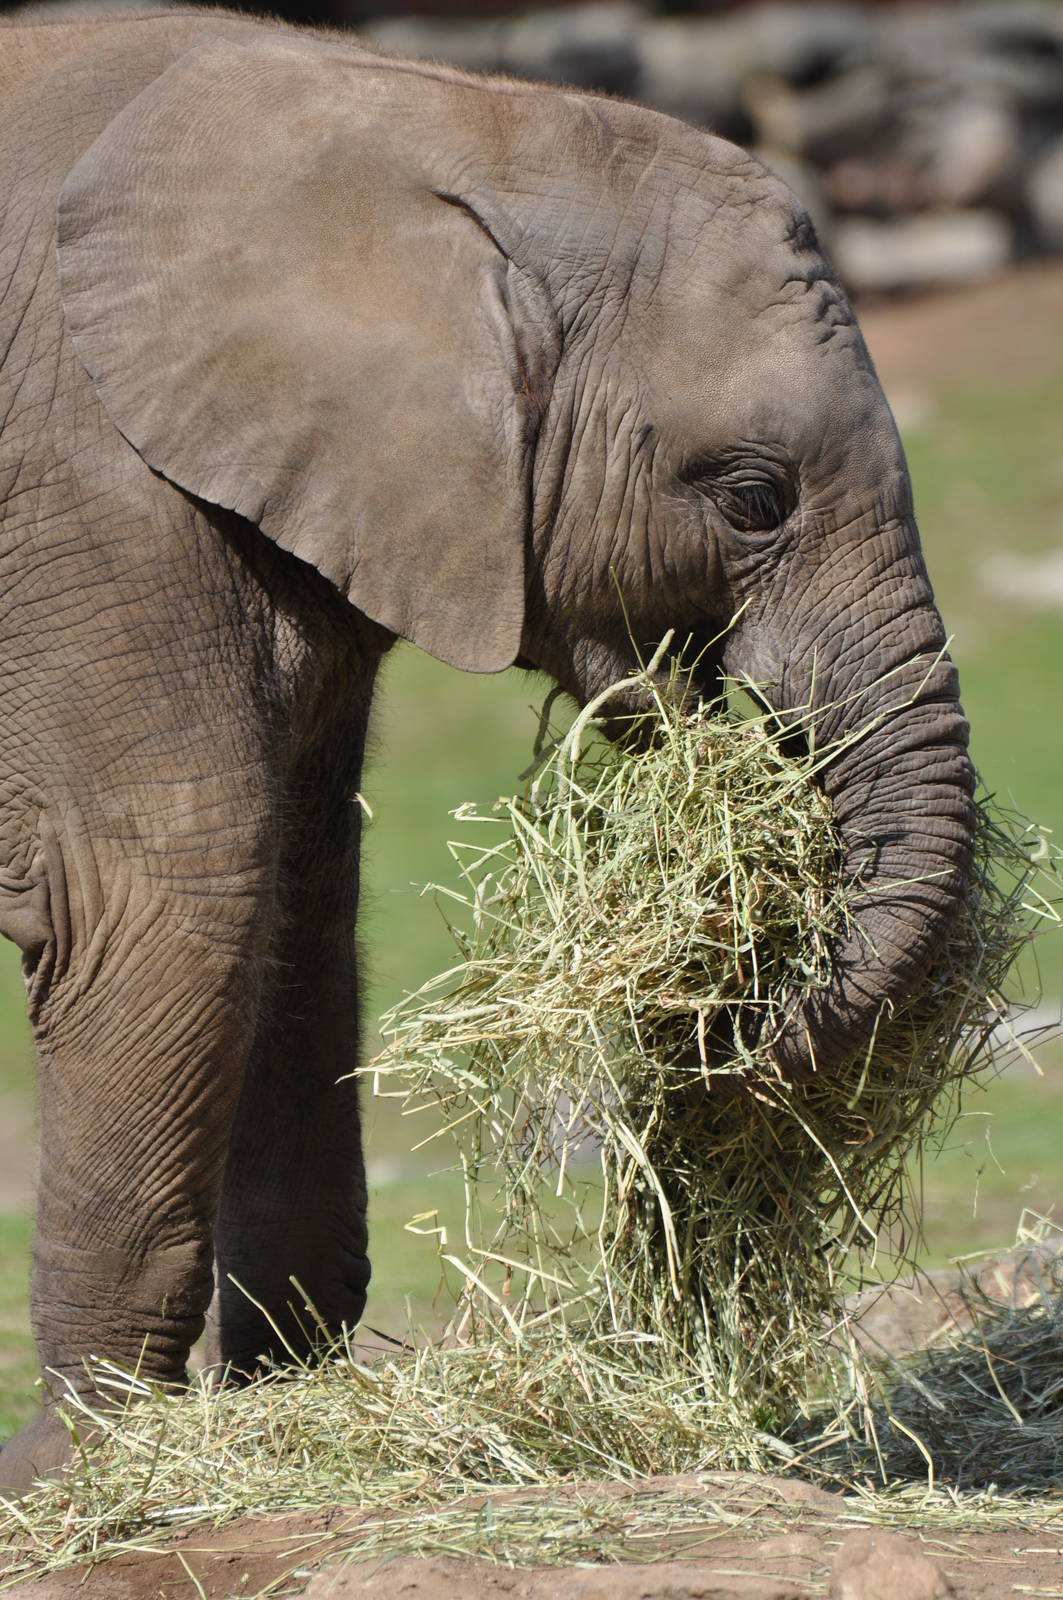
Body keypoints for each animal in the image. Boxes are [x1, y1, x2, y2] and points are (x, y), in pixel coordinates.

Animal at [0, 9, 975, 1493]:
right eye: (752, 499)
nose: (731, 1027)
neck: (450, 119)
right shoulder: (95, 485)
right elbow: (166, 890)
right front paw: (86, 1481)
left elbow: (297, 884)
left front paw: (284, 1413)